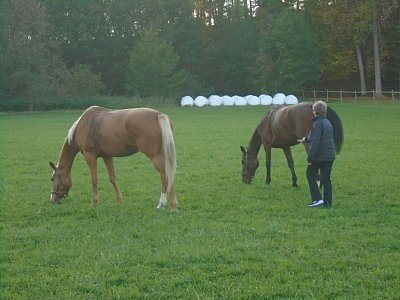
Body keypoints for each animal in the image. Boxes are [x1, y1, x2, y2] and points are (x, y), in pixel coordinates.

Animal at [49, 106, 177, 210]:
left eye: (53, 179)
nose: (52, 200)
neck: (82, 125)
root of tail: (158, 115)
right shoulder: (107, 156)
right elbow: (113, 178)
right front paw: (120, 201)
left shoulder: (89, 155)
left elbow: (94, 179)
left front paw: (94, 202)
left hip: (154, 156)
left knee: (165, 176)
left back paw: (165, 204)